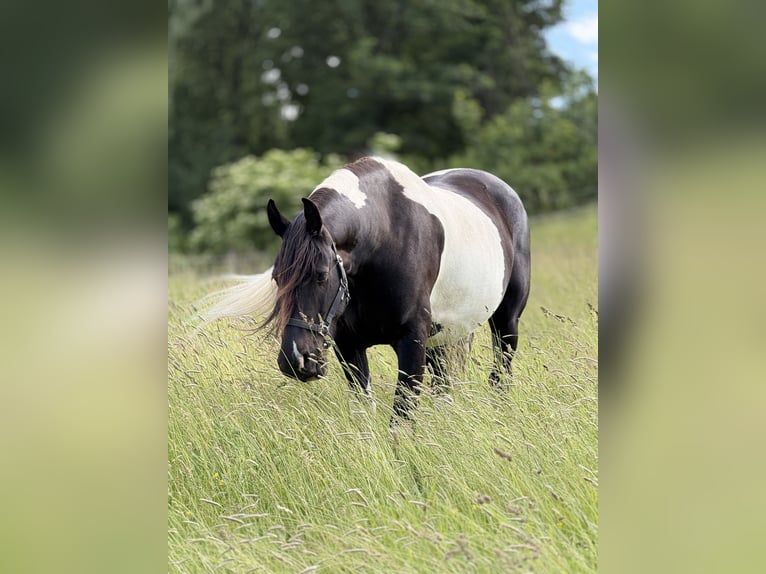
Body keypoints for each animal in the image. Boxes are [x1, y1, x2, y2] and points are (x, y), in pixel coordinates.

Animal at [203, 157, 530, 421]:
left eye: (321, 275)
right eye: (277, 279)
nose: (296, 360)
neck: (384, 237)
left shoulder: (412, 342)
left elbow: (401, 418)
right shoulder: (349, 345)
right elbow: (364, 410)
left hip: (505, 323)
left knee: (499, 375)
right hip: (443, 338)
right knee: (444, 388)